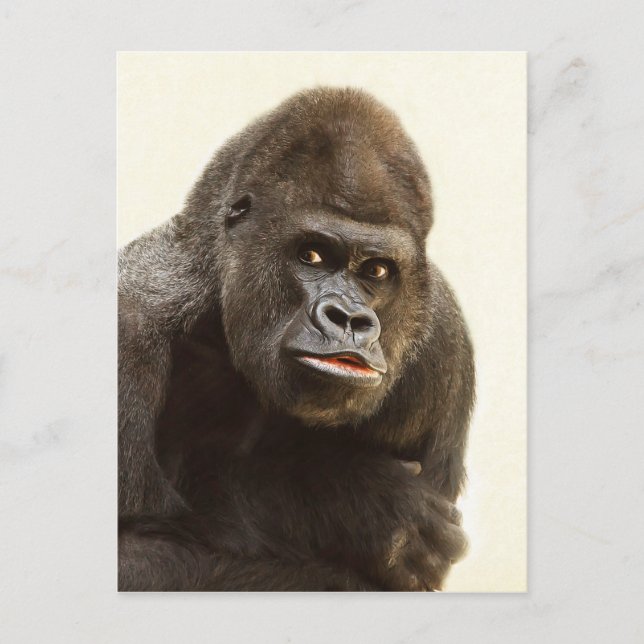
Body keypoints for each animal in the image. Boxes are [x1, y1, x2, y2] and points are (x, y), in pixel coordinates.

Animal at [118, 87, 475, 591]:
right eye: (312, 255)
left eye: (376, 270)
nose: (348, 319)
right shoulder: (127, 328)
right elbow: (132, 556)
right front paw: (354, 501)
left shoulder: (445, 346)